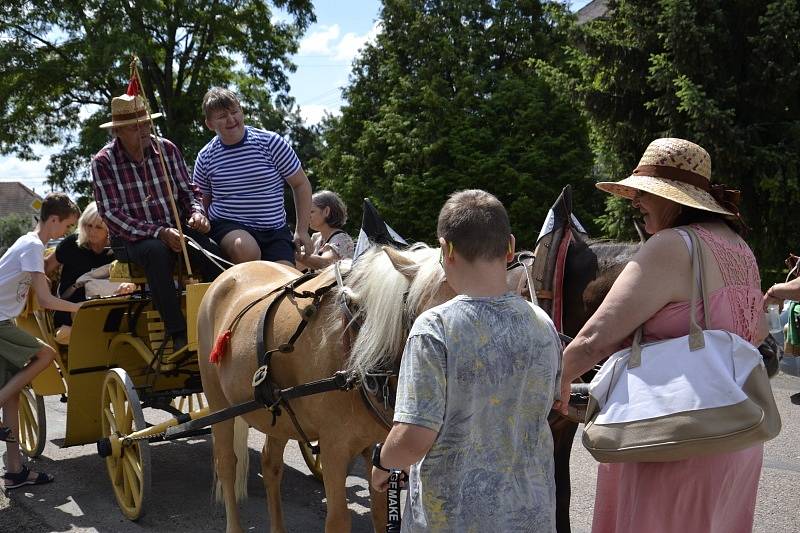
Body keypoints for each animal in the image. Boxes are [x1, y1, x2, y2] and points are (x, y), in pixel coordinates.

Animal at [197, 243, 454, 528]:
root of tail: (231, 273)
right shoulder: (333, 449)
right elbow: (338, 519)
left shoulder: (377, 447)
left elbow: (379, 512)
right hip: (218, 403)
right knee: (226, 464)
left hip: (277, 412)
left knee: (270, 464)